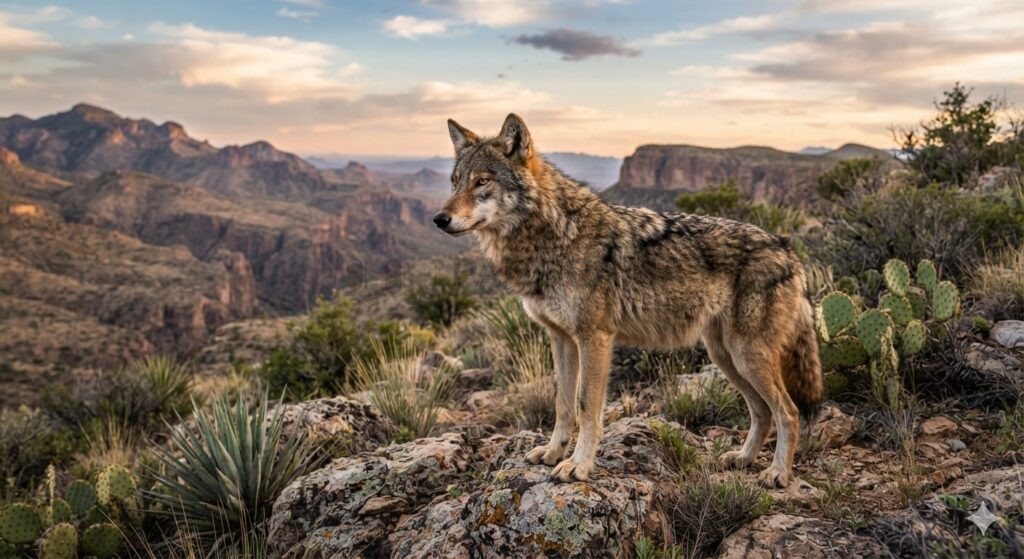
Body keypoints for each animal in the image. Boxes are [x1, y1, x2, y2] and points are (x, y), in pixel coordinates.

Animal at [433, 114, 822, 487]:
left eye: (482, 182)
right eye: (455, 181)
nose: (439, 219)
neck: (554, 235)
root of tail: (789, 252)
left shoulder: (595, 338)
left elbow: (586, 406)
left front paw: (578, 465)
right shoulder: (561, 339)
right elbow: (562, 404)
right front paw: (553, 453)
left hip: (746, 356)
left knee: (788, 411)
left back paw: (777, 474)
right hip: (725, 356)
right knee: (761, 411)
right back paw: (742, 458)